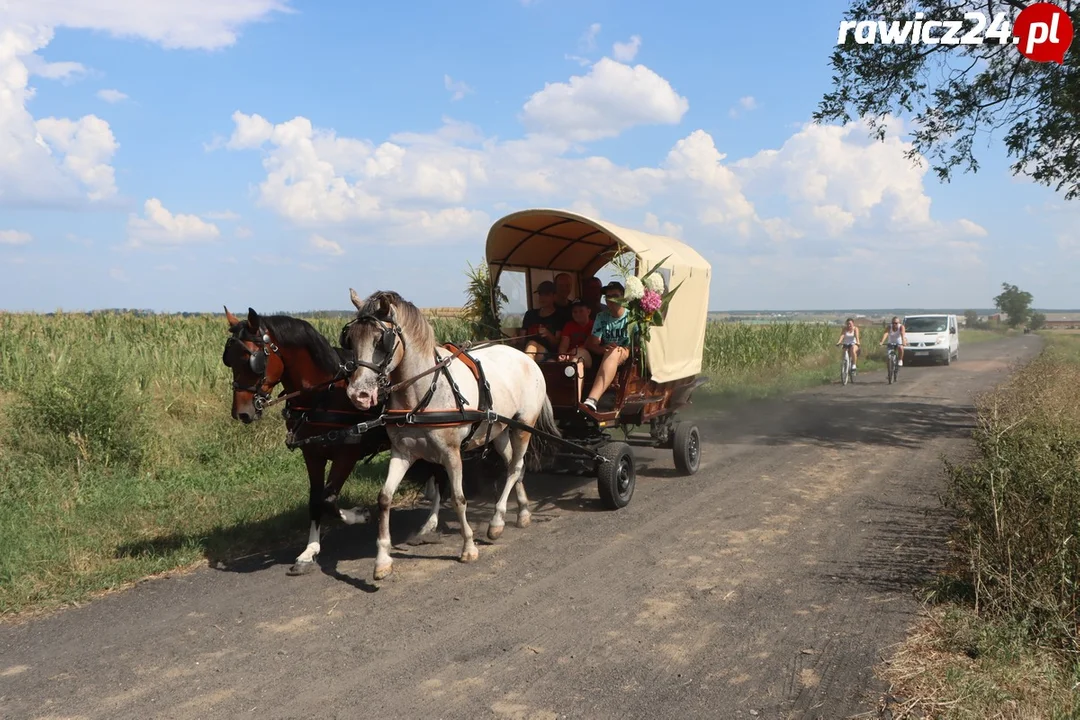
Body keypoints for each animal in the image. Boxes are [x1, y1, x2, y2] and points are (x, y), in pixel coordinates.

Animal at [223, 306, 447, 578]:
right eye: (229, 359)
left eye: (252, 360)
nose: (242, 413)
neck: (323, 395)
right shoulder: (312, 454)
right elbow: (315, 500)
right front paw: (309, 551)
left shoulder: (347, 455)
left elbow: (328, 499)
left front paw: (360, 515)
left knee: (440, 473)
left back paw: (430, 524)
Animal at [345, 287, 561, 578]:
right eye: (351, 339)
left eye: (381, 340)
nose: (358, 394)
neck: (422, 392)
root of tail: (525, 357)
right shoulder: (402, 453)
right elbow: (385, 498)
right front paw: (382, 560)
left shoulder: (451, 453)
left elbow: (459, 499)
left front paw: (468, 547)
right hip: (499, 429)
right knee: (513, 466)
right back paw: (523, 512)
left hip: (523, 426)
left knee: (516, 468)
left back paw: (497, 521)